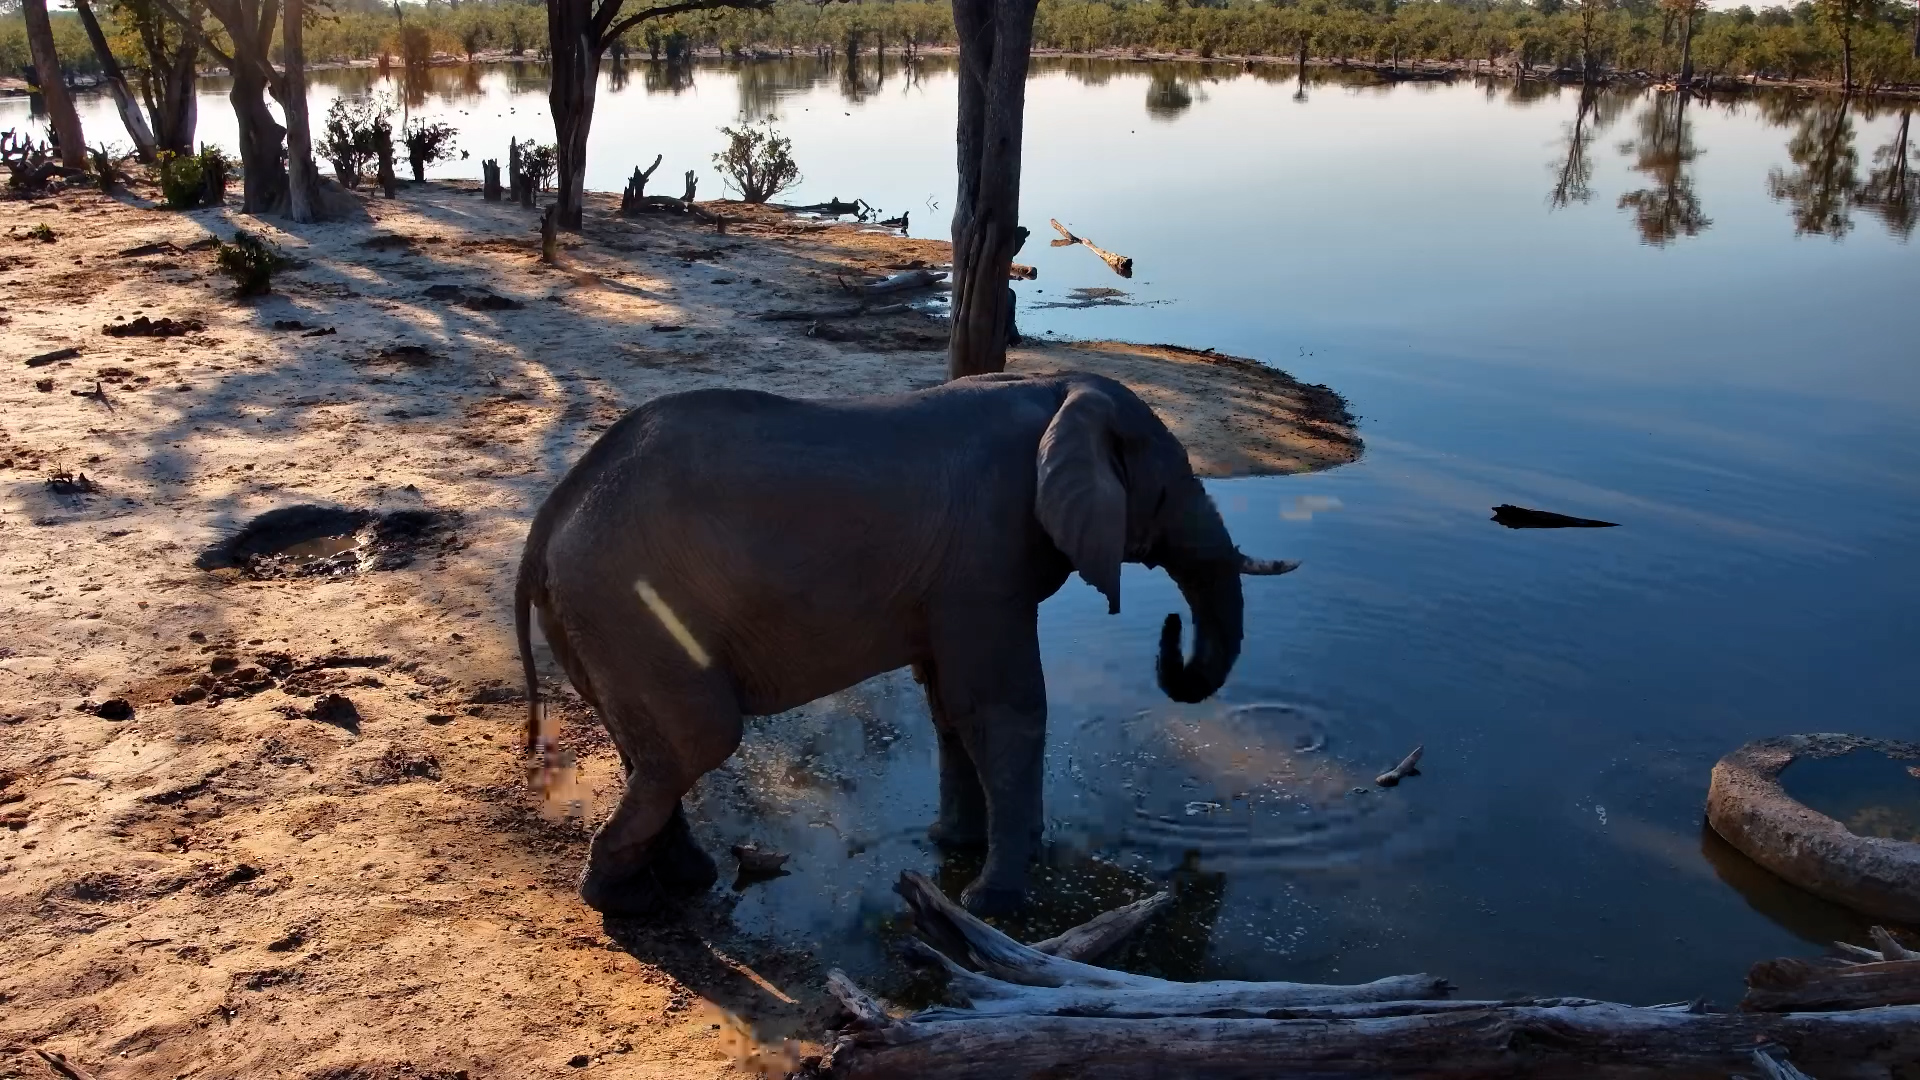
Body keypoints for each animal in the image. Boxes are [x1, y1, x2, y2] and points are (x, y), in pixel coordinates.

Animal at [514, 370, 1297, 917]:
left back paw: (682, 883)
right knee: (698, 740)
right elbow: (1002, 709)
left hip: (599, 618)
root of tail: (550, 517)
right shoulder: (984, 559)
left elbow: (952, 708)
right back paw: (627, 904)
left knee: (653, 750)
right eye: (1167, 488)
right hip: (628, 603)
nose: (1169, 631)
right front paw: (993, 902)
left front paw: (957, 851)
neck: (1056, 388)